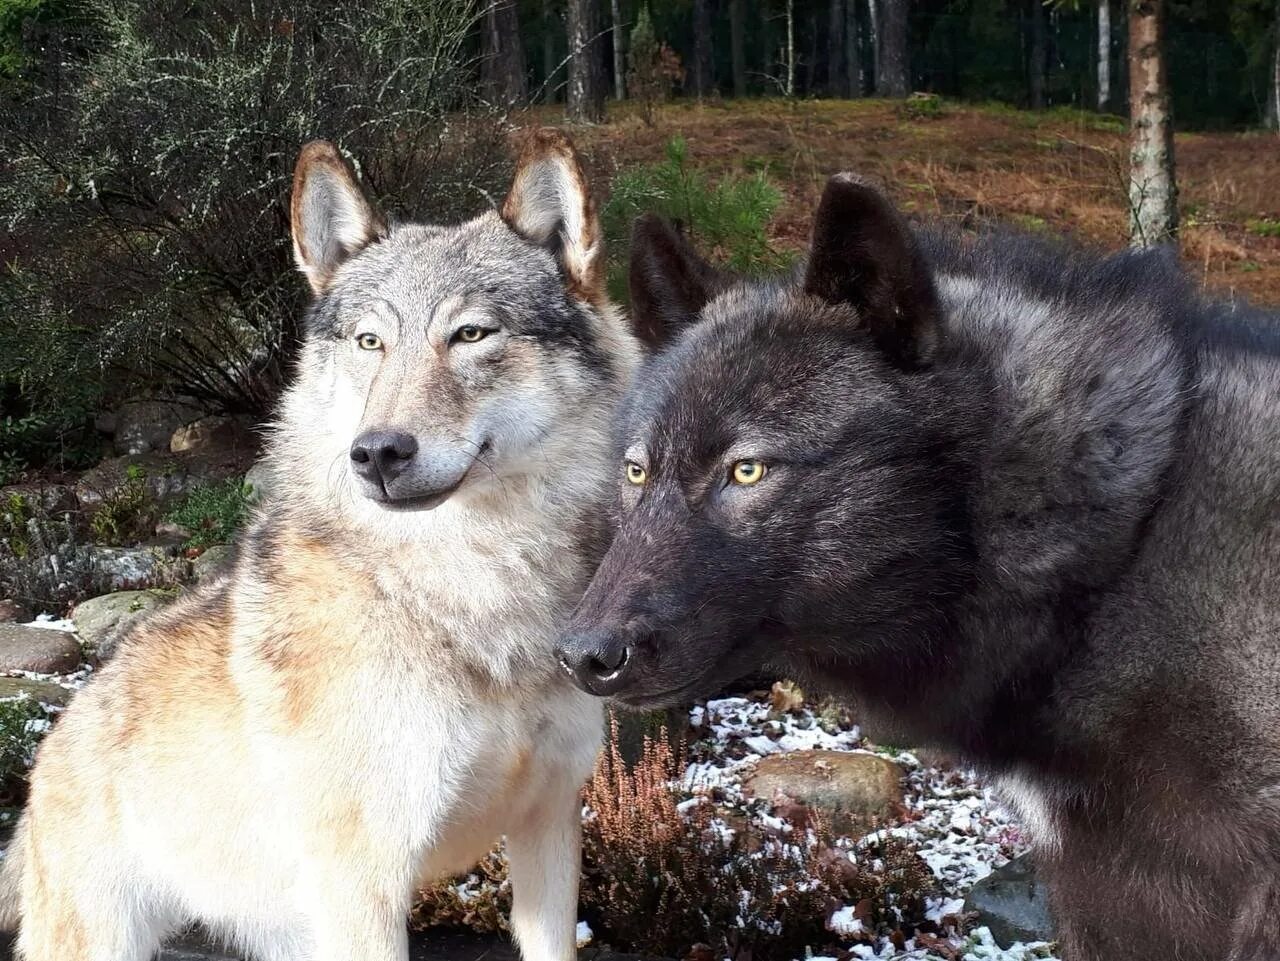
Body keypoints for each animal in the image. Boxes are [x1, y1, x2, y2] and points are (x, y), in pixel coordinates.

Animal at [0, 129, 640, 961]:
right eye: (371, 341)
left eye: (470, 334)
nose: (377, 452)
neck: (472, 587)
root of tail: (47, 756)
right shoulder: (363, 884)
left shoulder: (549, 828)